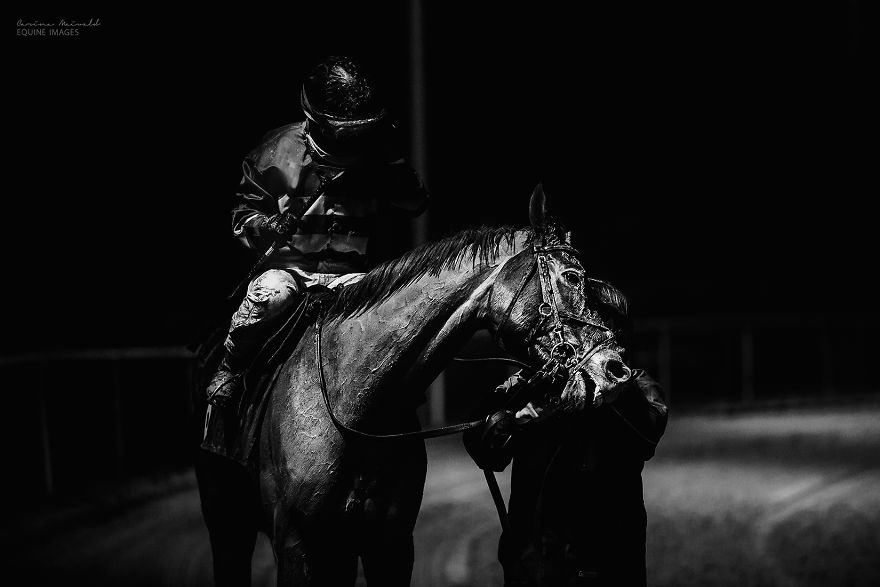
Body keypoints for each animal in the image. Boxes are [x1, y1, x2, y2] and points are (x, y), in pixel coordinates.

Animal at [193, 185, 634, 586]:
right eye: (572, 277)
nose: (615, 369)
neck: (351, 405)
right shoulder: (296, 545)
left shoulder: (389, 544)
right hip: (226, 522)